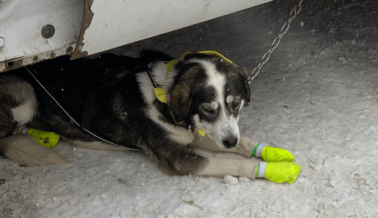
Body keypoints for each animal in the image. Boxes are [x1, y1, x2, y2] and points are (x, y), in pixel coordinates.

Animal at [0, 51, 260, 179]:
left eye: (236, 104)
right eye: (208, 109)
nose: (230, 142)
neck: (160, 94)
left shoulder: (192, 132)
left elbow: (244, 144)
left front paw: (265, 150)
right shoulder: (178, 159)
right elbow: (231, 162)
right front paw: (261, 170)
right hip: (26, 94)